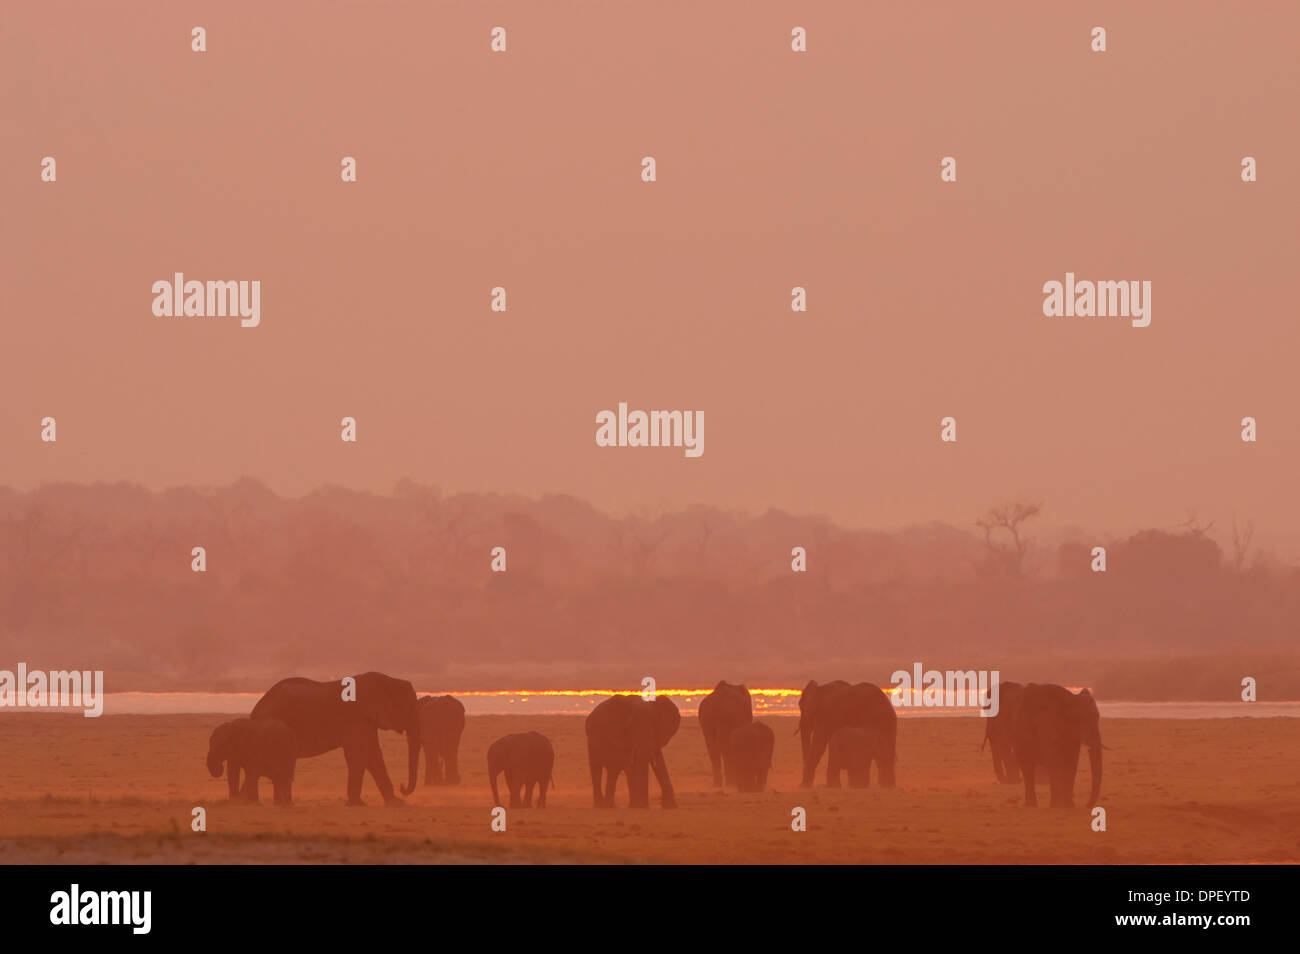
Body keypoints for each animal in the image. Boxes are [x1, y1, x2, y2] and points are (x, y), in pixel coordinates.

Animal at [249, 670, 421, 805]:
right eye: (408, 706)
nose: (402, 786)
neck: (388, 680)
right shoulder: (356, 719)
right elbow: (358, 755)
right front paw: (356, 804)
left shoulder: (367, 721)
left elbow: (373, 755)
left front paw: (397, 803)